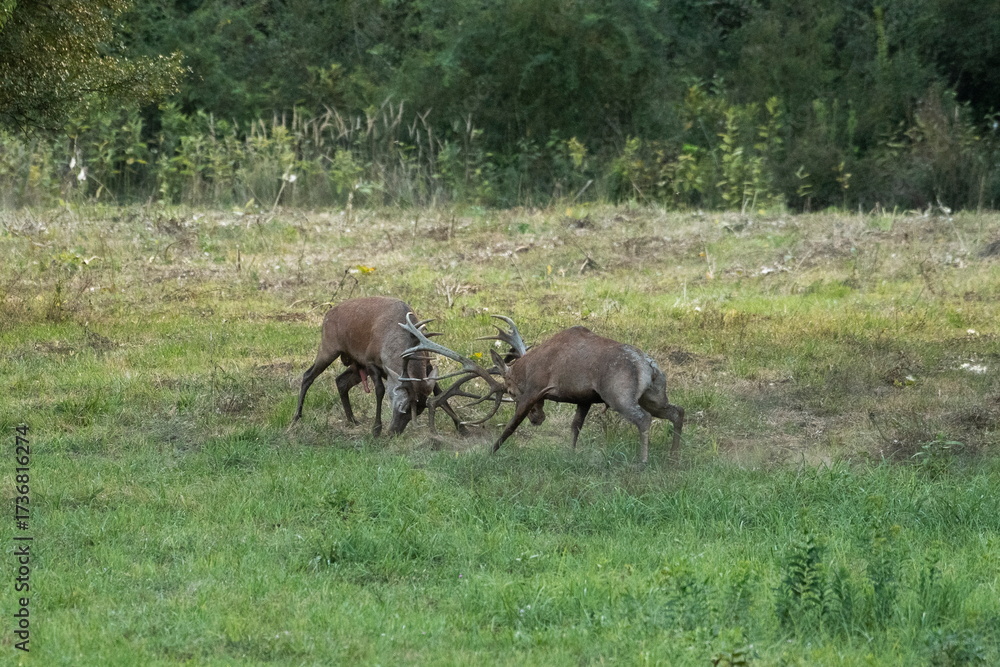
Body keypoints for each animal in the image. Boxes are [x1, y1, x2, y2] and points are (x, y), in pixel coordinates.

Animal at [293, 296, 464, 436]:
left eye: (420, 411)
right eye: (402, 405)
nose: (395, 431)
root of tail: (327, 314)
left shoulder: (427, 364)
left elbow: (439, 392)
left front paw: (462, 427)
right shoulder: (370, 361)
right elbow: (380, 390)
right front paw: (376, 429)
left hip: (355, 364)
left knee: (340, 380)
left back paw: (352, 419)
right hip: (328, 347)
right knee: (308, 375)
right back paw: (296, 417)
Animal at [401, 317, 684, 463]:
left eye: (511, 392)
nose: (538, 419)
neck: (525, 369)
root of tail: (647, 364)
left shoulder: (535, 390)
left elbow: (510, 427)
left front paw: (489, 452)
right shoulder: (583, 398)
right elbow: (575, 426)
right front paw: (571, 454)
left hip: (619, 395)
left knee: (643, 419)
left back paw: (643, 461)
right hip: (653, 395)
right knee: (677, 411)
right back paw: (673, 456)